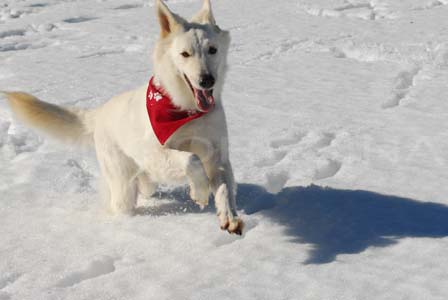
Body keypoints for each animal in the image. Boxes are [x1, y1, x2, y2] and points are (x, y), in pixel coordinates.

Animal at [3, 0, 243, 234]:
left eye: (212, 50)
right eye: (185, 54)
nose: (207, 80)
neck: (187, 110)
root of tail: (99, 113)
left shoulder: (217, 155)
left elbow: (223, 189)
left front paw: (229, 217)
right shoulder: (154, 152)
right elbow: (191, 159)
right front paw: (200, 192)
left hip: (143, 177)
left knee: (146, 185)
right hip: (122, 183)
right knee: (120, 204)